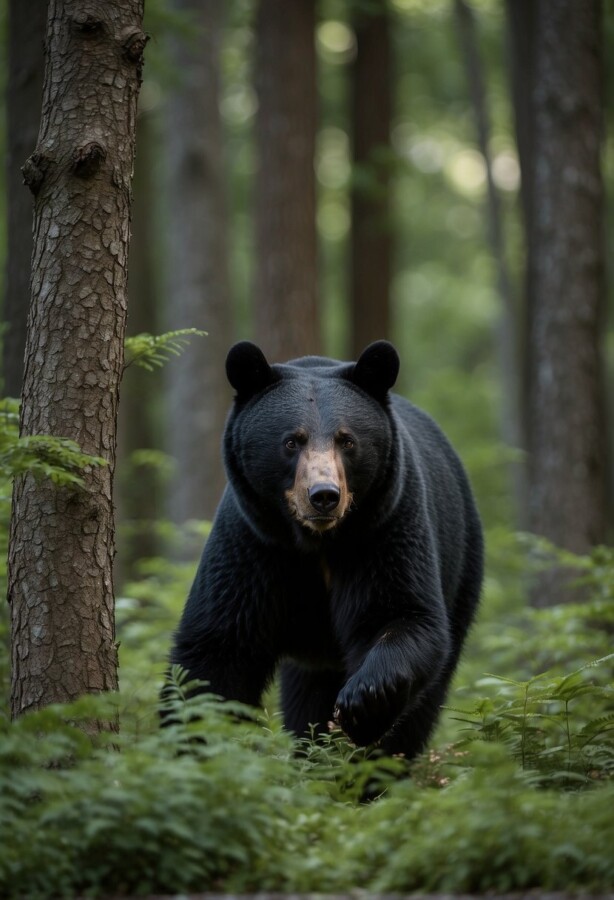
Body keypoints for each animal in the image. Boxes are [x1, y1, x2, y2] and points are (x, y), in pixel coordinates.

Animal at [168, 340, 483, 760]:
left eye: (347, 440)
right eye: (291, 440)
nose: (324, 496)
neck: (316, 542)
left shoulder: (386, 529)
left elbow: (401, 614)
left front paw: (364, 702)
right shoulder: (252, 544)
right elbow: (217, 651)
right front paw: (188, 744)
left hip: (462, 566)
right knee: (306, 701)